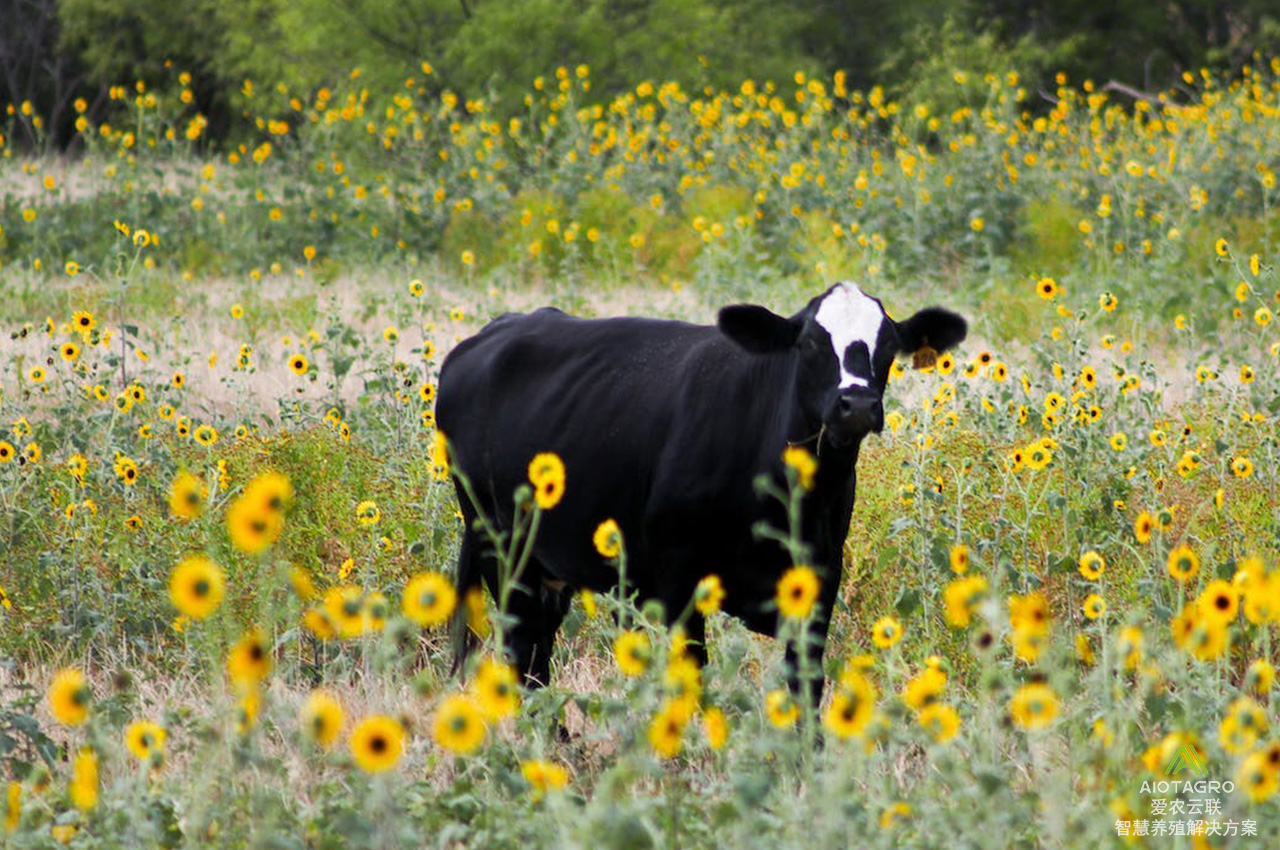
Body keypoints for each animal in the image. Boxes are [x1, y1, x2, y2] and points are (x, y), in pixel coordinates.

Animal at [435, 281, 962, 701]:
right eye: (811, 342)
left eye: (888, 344)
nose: (857, 404)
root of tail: (490, 334)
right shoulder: (678, 577)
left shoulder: (820, 578)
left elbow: (806, 688)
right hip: (501, 549)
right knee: (521, 656)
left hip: (550, 566)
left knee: (537, 658)